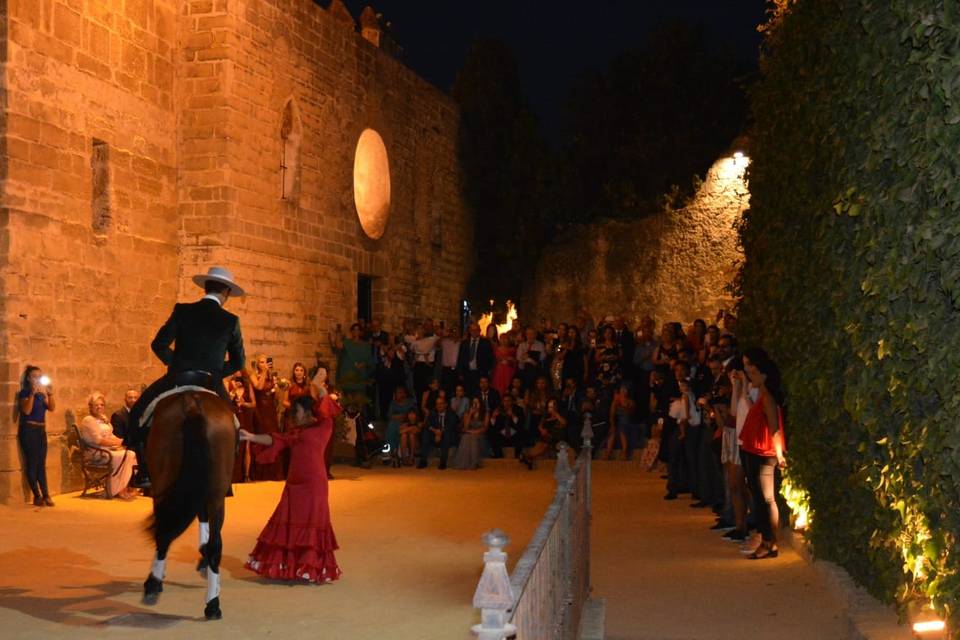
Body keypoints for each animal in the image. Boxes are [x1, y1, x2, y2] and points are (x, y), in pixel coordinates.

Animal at [139, 390, 236, 620]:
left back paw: (153, 583)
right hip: (217, 492)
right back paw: (213, 604)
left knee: (163, 534)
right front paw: (202, 554)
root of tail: (192, 401)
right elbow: (203, 519)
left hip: (162, 483)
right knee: (216, 544)